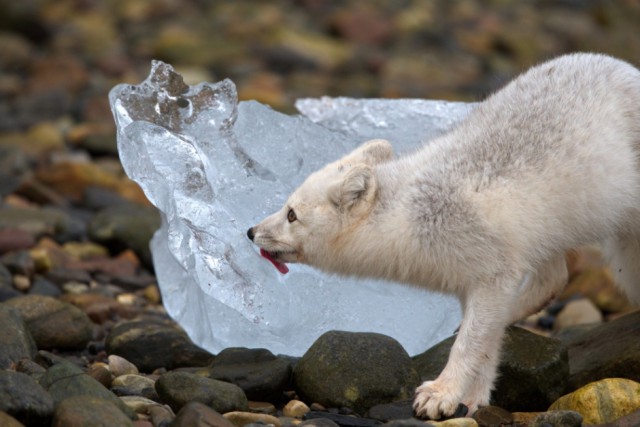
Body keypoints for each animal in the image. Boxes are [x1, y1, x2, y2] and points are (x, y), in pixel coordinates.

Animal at [246, 52, 640, 418]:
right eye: (285, 206)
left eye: (292, 215)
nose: (250, 231)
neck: (409, 213)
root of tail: (624, 66)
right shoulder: (474, 284)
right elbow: (486, 346)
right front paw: (473, 398)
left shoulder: (493, 275)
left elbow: (469, 344)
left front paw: (442, 393)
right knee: (554, 278)